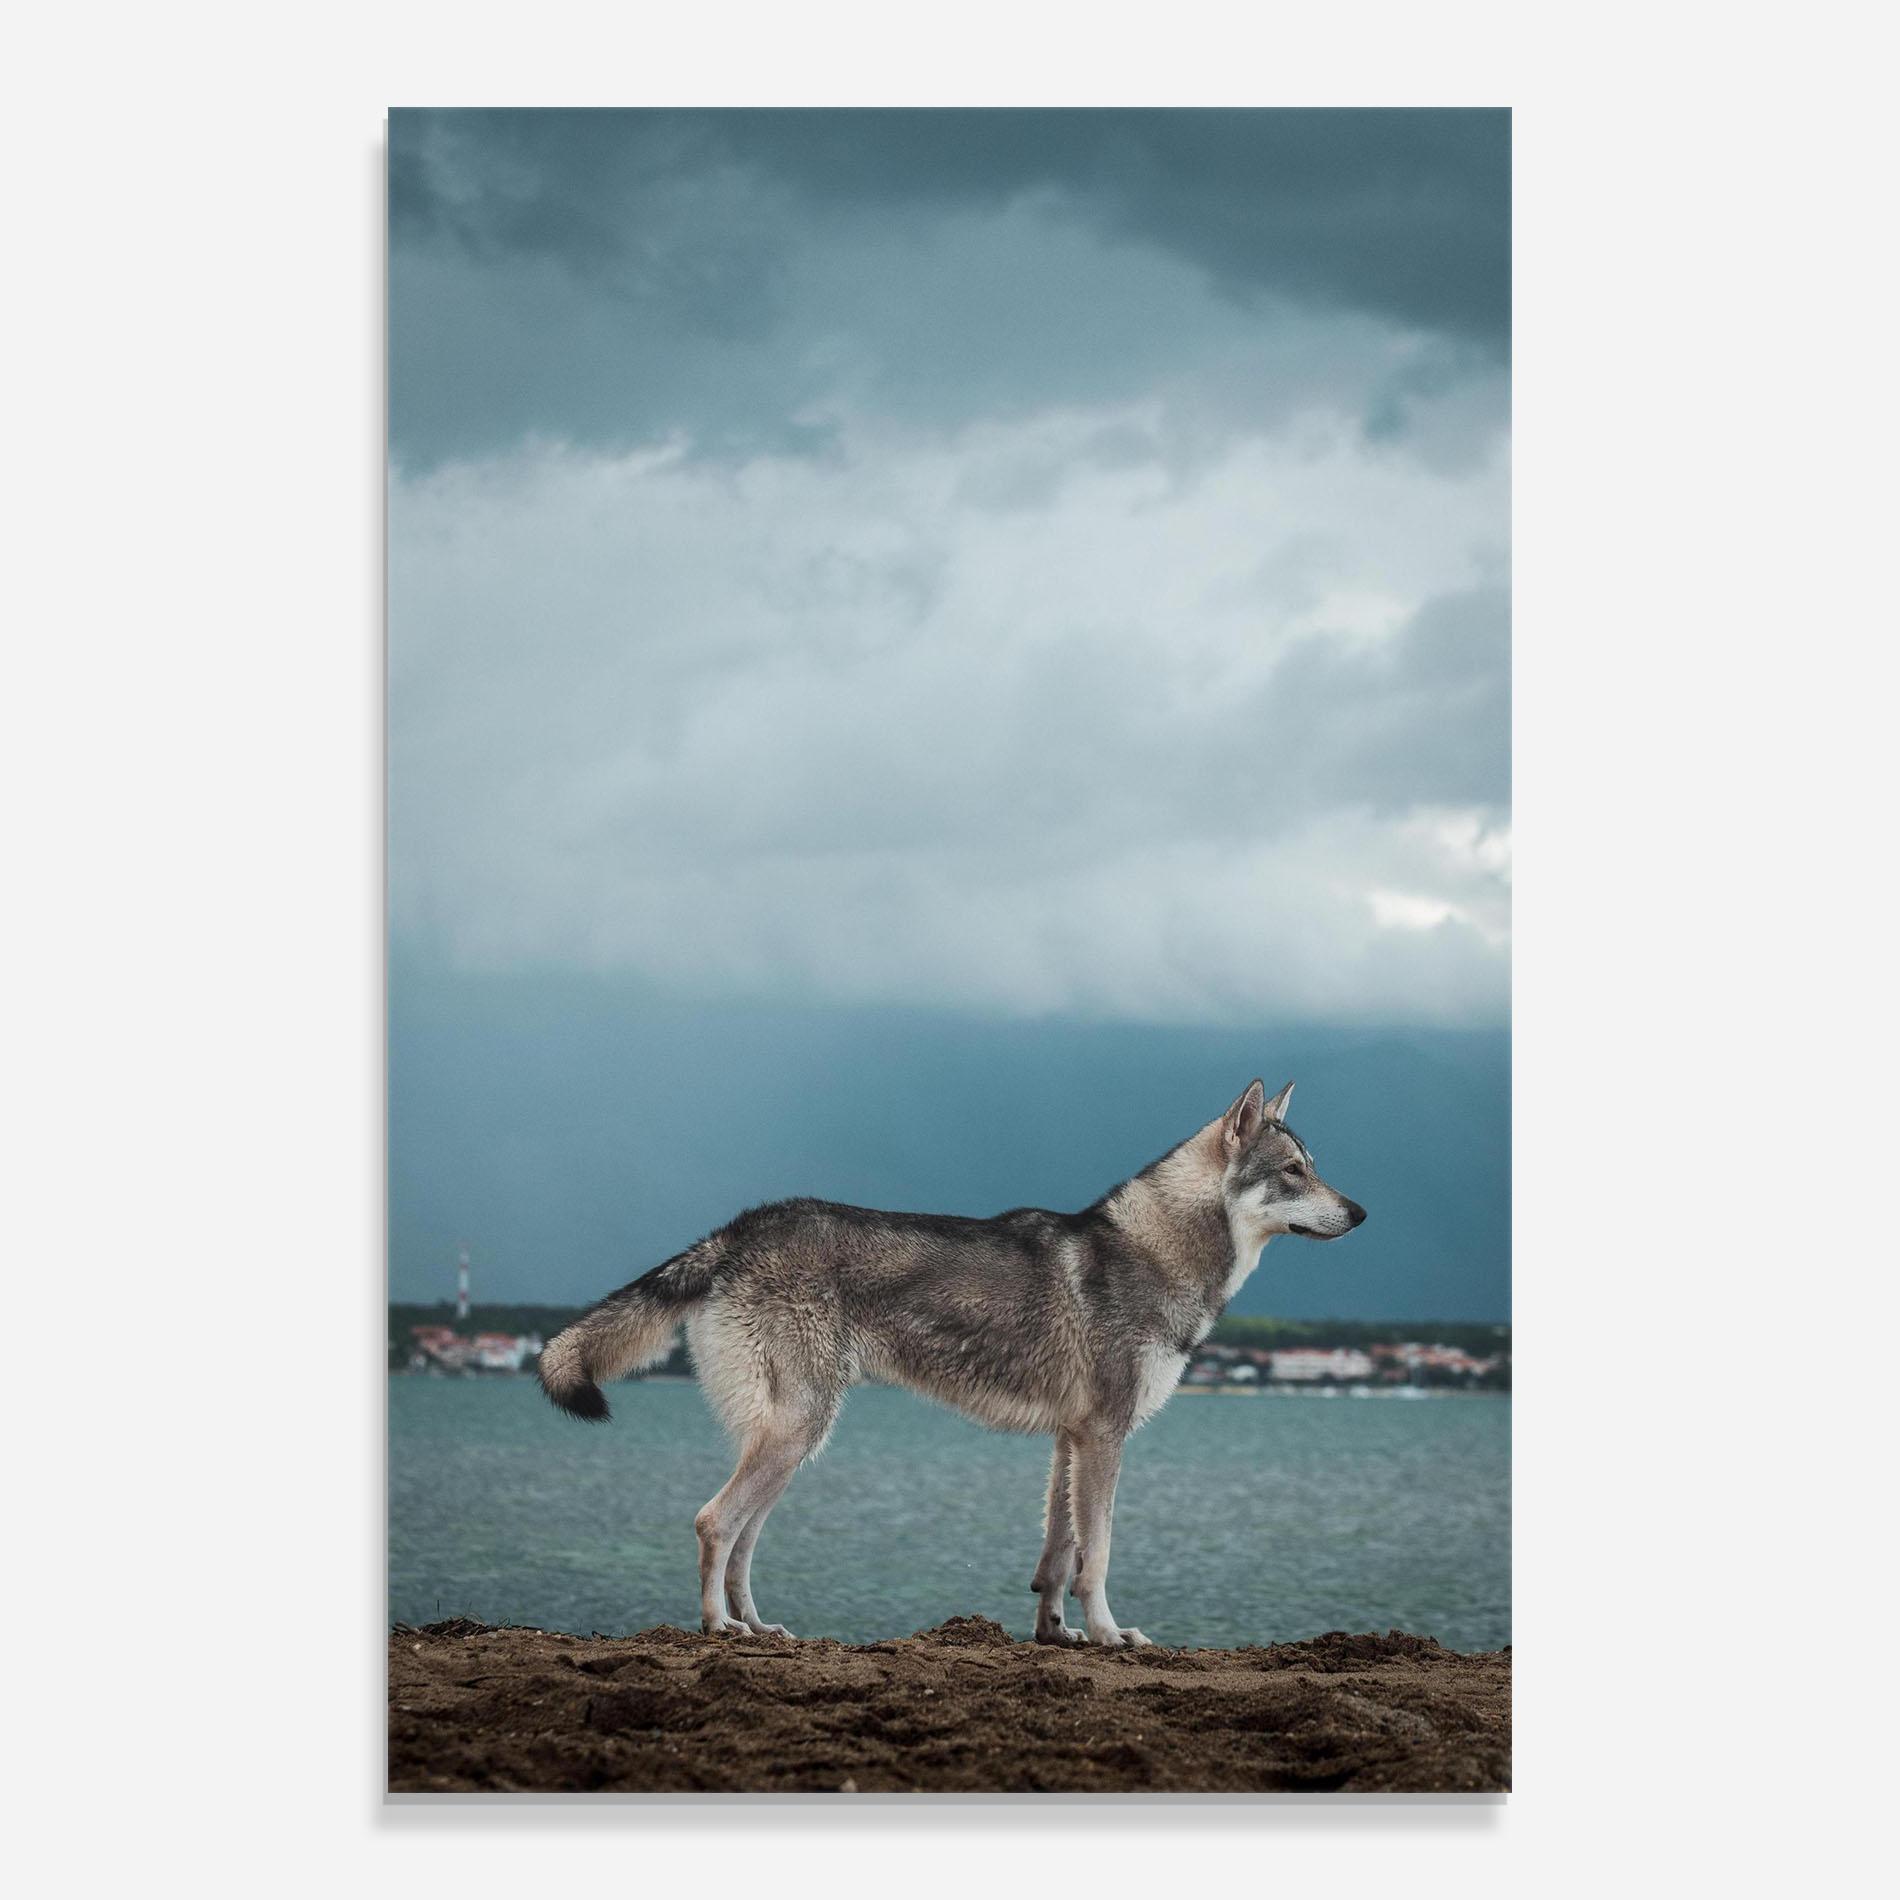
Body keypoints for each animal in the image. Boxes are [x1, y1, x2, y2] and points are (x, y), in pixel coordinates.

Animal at [539, 1078, 1366, 1646]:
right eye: (1294, 1171)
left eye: (1315, 1167)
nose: (1361, 1212)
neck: (1159, 1254)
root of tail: (740, 1228)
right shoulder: (1104, 1439)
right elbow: (1097, 1555)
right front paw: (1109, 1635)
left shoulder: (1070, 1441)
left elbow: (1057, 1556)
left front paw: (1057, 1635)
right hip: (795, 1436)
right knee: (713, 1523)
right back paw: (720, 1628)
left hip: (793, 1446)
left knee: (741, 1539)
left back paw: (760, 1626)